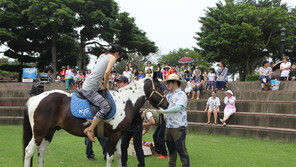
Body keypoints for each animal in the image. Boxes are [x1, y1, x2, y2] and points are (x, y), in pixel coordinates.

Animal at [22, 75, 169, 167]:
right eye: (160, 88)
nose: (167, 104)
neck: (125, 101)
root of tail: (34, 98)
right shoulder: (113, 135)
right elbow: (110, 157)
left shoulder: (119, 135)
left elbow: (120, 155)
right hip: (39, 132)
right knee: (29, 151)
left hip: (49, 132)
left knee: (41, 152)